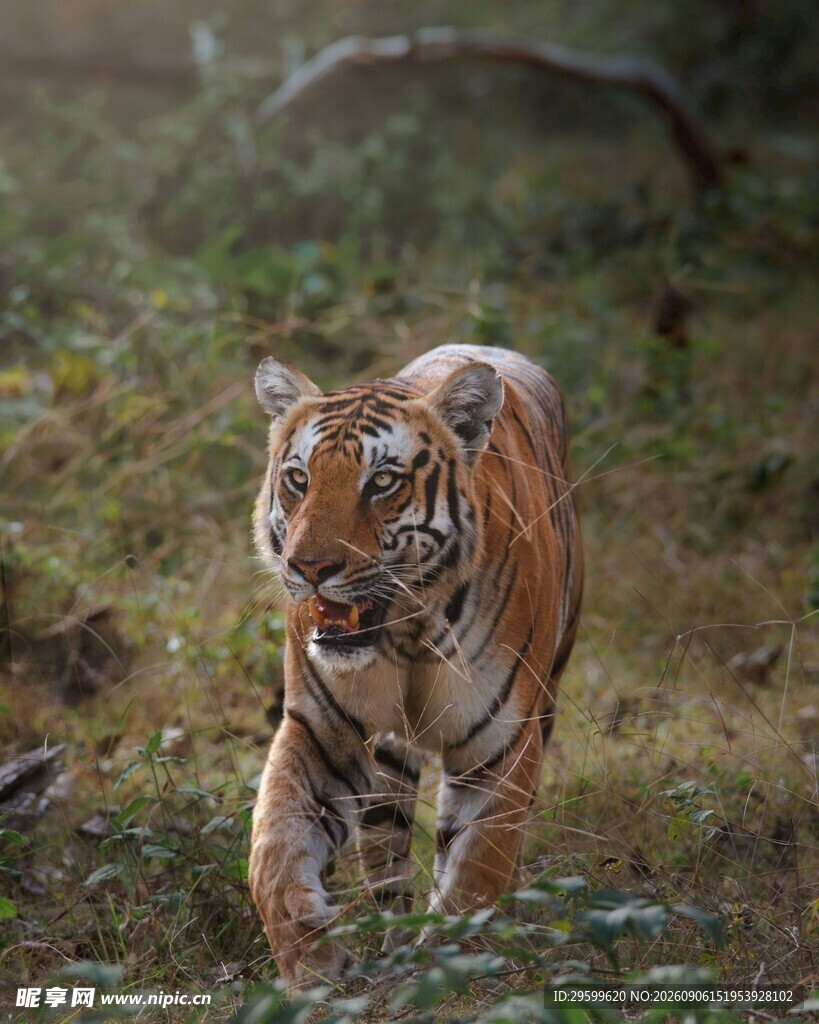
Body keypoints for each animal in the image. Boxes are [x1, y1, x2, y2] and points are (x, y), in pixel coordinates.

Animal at [248, 343, 583, 991]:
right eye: (299, 478)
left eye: (381, 481)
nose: (309, 567)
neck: (406, 631)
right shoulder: (319, 731)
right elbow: (273, 848)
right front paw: (311, 960)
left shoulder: (499, 745)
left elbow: (477, 866)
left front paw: (452, 963)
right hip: (387, 759)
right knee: (385, 847)